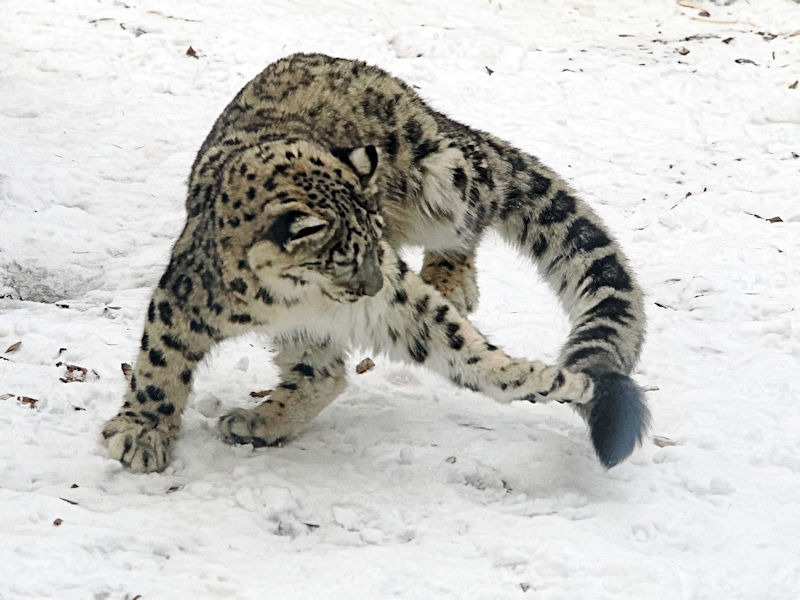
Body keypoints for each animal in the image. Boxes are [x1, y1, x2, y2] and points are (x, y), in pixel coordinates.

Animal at [101, 51, 648, 474]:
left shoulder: (397, 303)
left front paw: (551, 380)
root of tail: (418, 102)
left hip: (445, 177)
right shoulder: (187, 299)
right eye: (340, 256)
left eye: (376, 240)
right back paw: (258, 422)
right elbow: (161, 363)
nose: (371, 285)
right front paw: (141, 433)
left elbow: (458, 345)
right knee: (321, 374)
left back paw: (450, 279)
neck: (297, 300)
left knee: (476, 211)